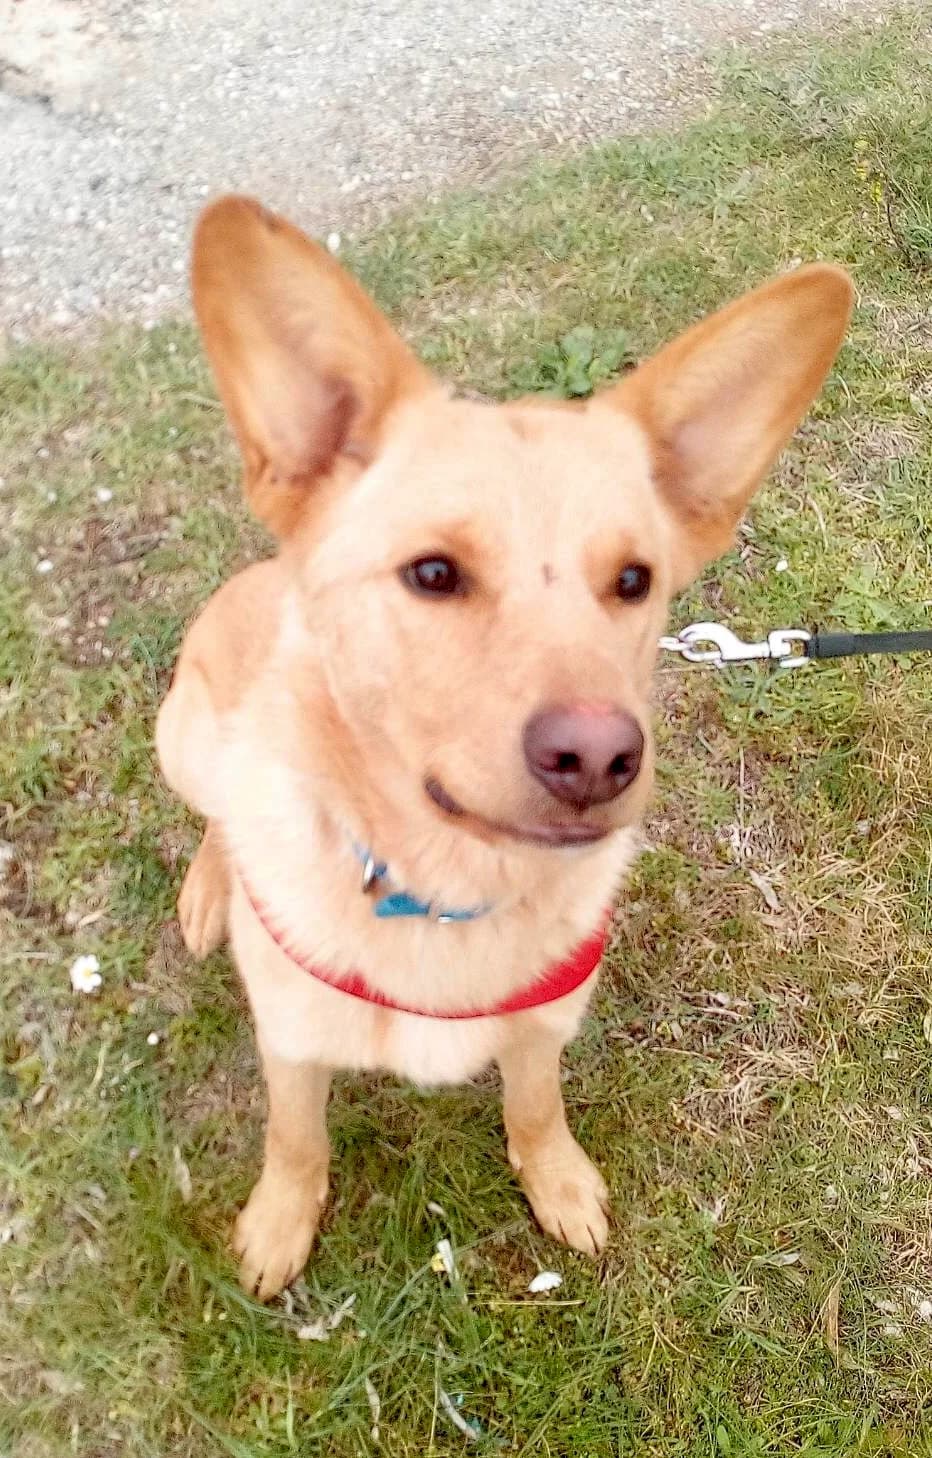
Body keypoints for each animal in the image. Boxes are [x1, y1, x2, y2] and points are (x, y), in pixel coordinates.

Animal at [156, 195, 852, 1299]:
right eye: (433, 573)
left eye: (633, 581)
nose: (598, 759)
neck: (444, 892)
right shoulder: (294, 1046)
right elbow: (295, 1141)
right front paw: (279, 1223)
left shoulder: (542, 1027)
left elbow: (535, 1107)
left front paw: (556, 1182)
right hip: (182, 737)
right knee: (218, 813)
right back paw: (211, 886)